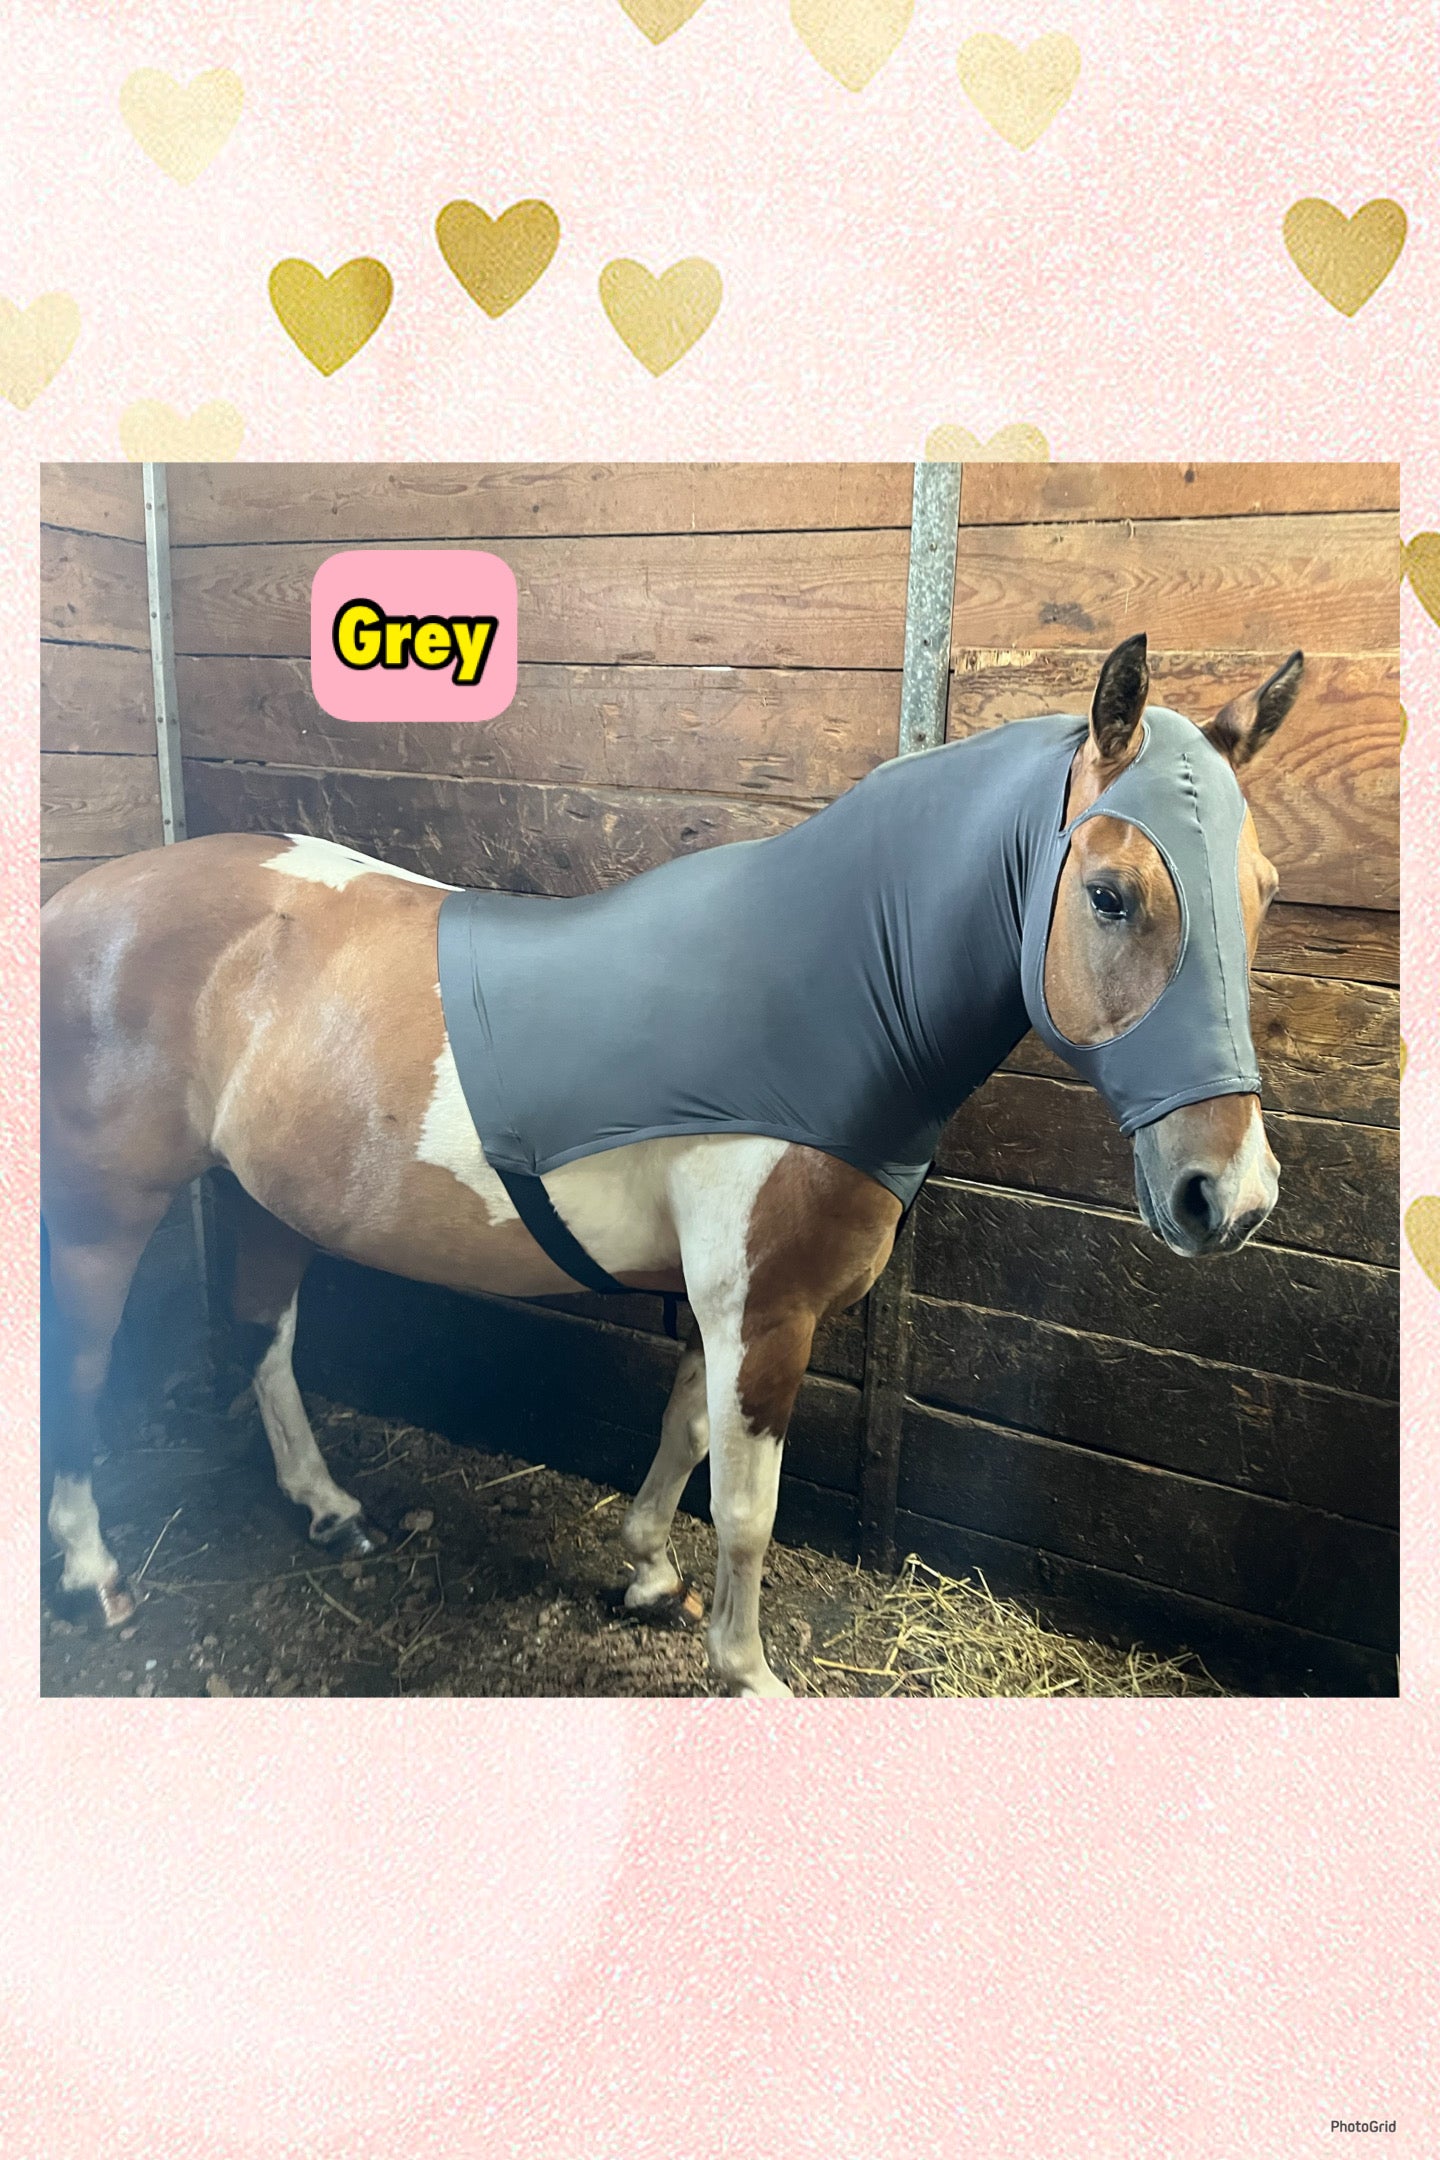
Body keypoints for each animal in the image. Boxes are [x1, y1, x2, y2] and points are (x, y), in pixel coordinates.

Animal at [40, 633, 1302, 1697]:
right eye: (1111, 894)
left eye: (1265, 892)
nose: (1228, 1198)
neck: (826, 994)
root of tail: (75, 904)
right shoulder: (766, 1312)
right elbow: (747, 1506)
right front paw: (743, 1670)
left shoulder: (727, 1307)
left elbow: (683, 1434)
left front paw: (646, 1572)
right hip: (104, 1211)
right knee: (86, 1365)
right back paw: (94, 1578)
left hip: (263, 1197)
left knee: (264, 1340)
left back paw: (329, 1508)